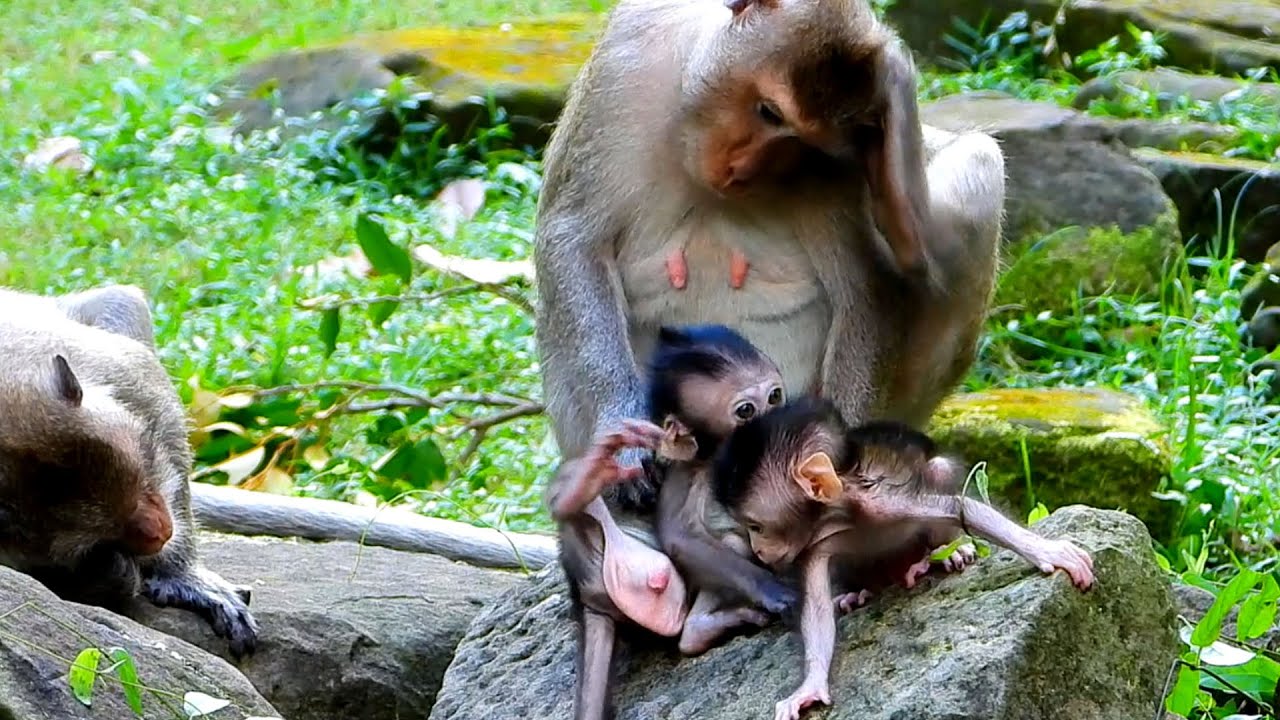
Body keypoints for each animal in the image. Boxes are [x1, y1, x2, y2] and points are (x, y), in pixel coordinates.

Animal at [0, 285, 259, 659]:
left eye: (141, 473)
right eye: (97, 536)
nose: (161, 532)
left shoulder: (121, 372)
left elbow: (165, 423)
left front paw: (180, 574)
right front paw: (109, 572)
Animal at [711, 397, 1094, 720]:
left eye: (756, 526)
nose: (759, 551)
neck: (838, 511)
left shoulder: (885, 500)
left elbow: (962, 509)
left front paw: (1047, 550)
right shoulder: (814, 547)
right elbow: (817, 611)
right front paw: (810, 686)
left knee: (938, 471)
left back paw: (941, 556)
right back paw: (861, 590)